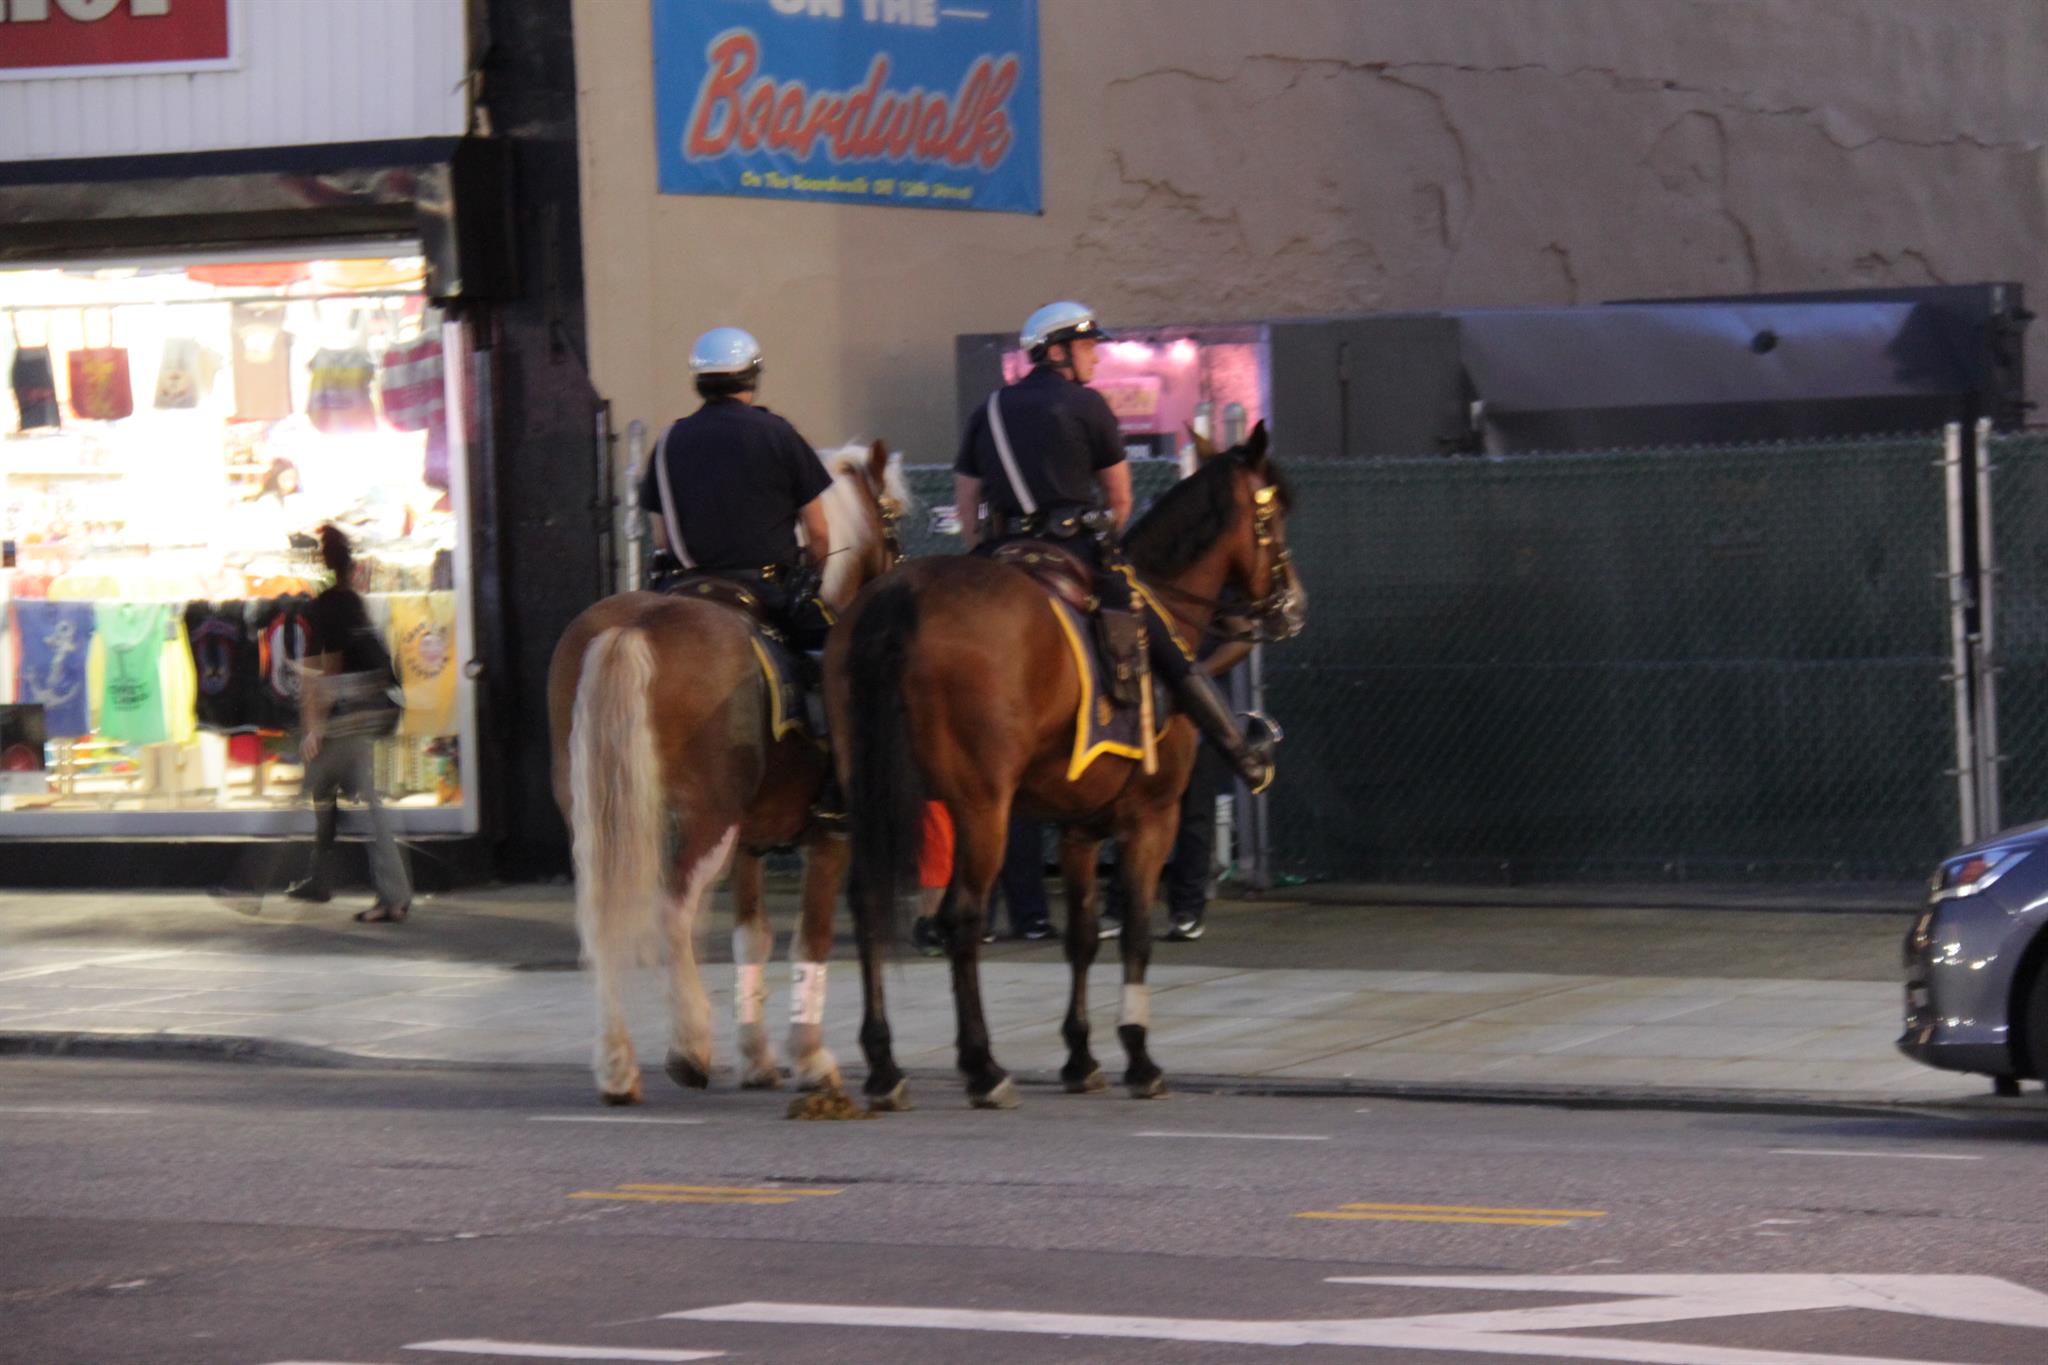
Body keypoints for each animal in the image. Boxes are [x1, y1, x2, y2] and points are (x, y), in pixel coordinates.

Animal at [547, 440, 909, 1105]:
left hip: (604, 821)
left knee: (602, 918)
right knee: (670, 912)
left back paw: (617, 1064)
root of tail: (632, 626)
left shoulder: (751, 842)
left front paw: (758, 1059)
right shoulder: (830, 835)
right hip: (704, 824)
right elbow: (810, 937)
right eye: (893, 517)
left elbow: (751, 937)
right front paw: (809, 1059)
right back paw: (688, 1045)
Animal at [826, 423, 1305, 1109]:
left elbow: (1080, 937)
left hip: (876, 797)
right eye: (1272, 515)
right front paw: (1139, 1055)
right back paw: (982, 1066)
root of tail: (899, 593)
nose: (1292, 606)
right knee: (962, 916)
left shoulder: (1079, 826)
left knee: (868, 900)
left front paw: (1080, 1055)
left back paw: (884, 1064)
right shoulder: (1150, 819)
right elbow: (1134, 931)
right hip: (980, 807)